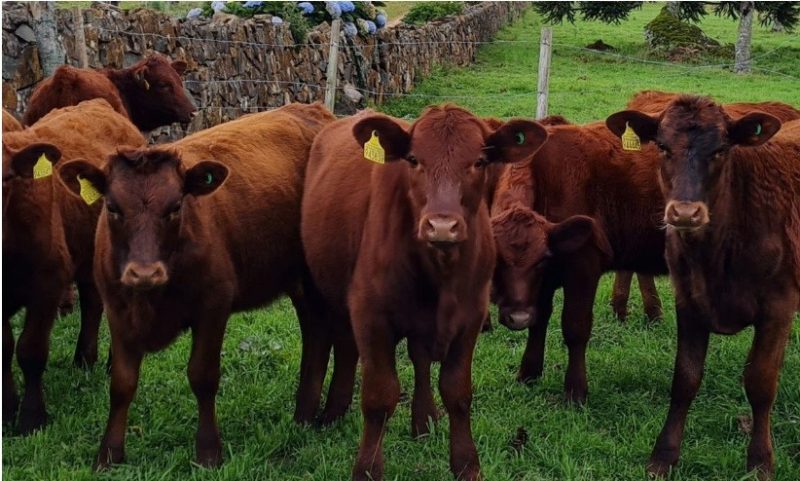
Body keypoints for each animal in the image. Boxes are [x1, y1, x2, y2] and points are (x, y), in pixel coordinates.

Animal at [1, 97, 145, 432]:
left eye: (6, 179)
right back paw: (84, 359)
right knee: (92, 302)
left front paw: (32, 417)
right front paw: (7, 409)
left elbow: (30, 350)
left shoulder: (48, 280)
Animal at [54, 103, 332, 466]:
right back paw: (305, 415)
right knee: (317, 333)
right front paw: (109, 453)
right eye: (112, 207)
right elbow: (122, 383)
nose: (144, 273)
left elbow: (202, 376)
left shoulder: (213, 306)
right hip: (298, 279)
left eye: (175, 207)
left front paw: (208, 450)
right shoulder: (118, 309)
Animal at [302, 106, 552, 480]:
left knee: (419, 359)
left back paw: (424, 420)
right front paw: (367, 469)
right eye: (413, 159)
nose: (442, 226)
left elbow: (457, 391)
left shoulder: (471, 316)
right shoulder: (370, 315)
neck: (440, 272)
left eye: (480, 161)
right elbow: (379, 396)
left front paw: (466, 464)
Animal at [608, 96, 800, 476]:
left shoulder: (778, 307)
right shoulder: (689, 301)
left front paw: (760, 461)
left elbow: (761, 382)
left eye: (722, 149)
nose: (685, 213)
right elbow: (685, 378)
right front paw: (663, 456)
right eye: (662, 147)